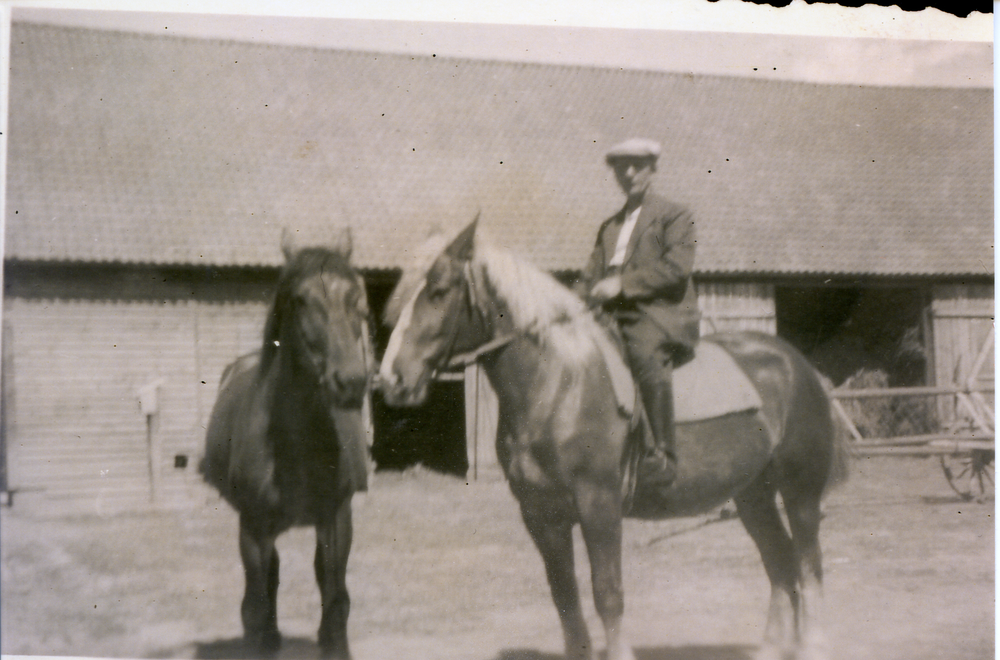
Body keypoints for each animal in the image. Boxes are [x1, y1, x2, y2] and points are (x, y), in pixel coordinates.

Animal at [378, 222, 848, 660]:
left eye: (439, 291)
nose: (391, 380)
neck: (557, 385)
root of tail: (798, 364)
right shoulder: (540, 515)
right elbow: (564, 596)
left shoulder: (599, 506)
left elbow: (607, 593)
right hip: (754, 495)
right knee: (781, 564)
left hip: (800, 492)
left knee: (809, 563)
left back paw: (816, 645)